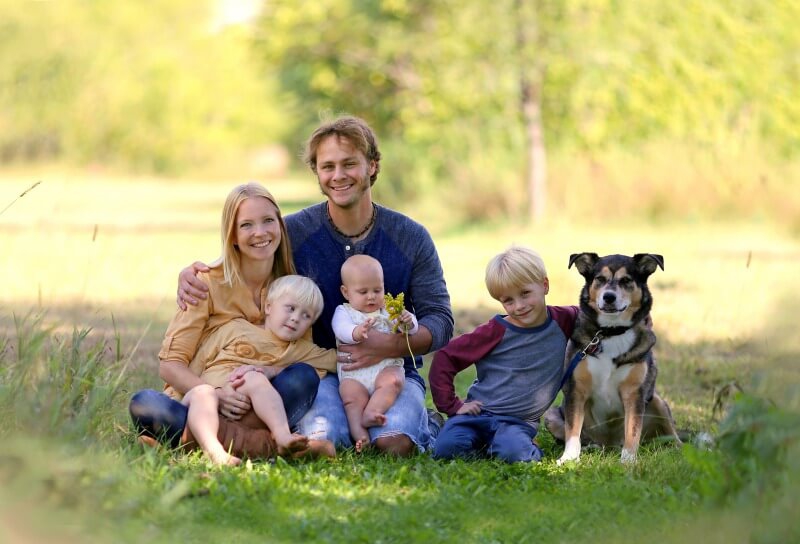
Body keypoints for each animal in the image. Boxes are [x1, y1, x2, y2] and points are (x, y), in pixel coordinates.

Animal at [544, 252, 680, 464]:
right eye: (600, 279)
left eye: (626, 280)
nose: (609, 297)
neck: (611, 331)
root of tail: (610, 446)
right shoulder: (576, 390)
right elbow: (572, 430)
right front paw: (569, 459)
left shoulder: (634, 393)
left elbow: (632, 431)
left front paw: (628, 461)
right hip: (551, 415)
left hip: (657, 400)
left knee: (674, 436)